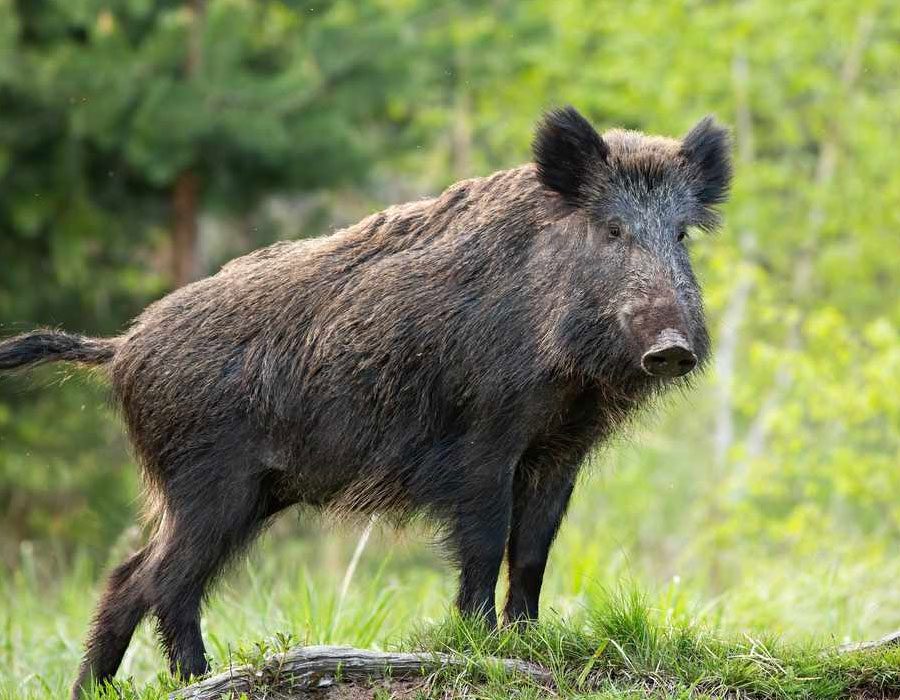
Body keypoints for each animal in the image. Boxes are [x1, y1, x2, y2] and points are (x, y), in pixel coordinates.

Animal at [0, 106, 731, 697]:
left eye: (681, 235)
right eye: (611, 230)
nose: (671, 346)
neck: (567, 376)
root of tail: (121, 347)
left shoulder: (558, 450)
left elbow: (532, 551)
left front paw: (527, 645)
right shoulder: (482, 443)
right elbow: (485, 543)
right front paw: (481, 647)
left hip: (239, 491)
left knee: (129, 577)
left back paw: (98, 689)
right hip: (211, 484)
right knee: (164, 582)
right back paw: (201, 679)